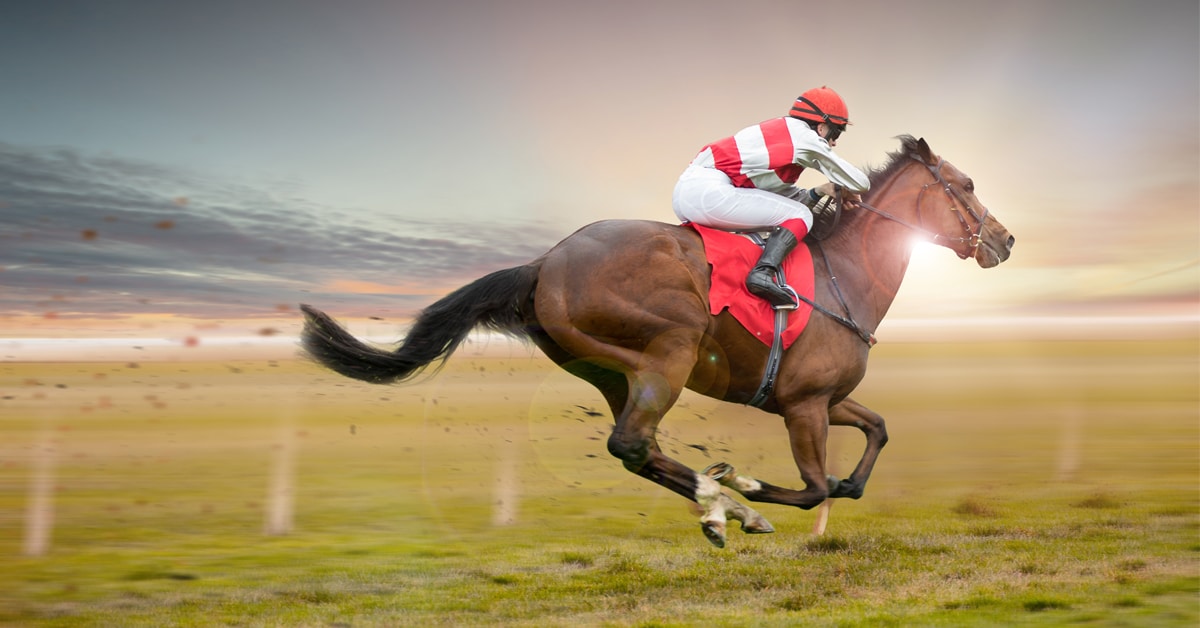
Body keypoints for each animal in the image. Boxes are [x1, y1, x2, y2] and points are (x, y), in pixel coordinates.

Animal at [300, 135, 1015, 547]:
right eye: (968, 185)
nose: (1005, 240)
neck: (846, 275)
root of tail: (544, 263)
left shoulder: (821, 398)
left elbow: (875, 436)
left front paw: (799, 491)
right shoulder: (805, 405)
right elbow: (815, 486)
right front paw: (753, 490)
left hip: (612, 372)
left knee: (636, 450)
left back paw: (720, 507)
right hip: (667, 354)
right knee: (633, 444)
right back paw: (730, 505)